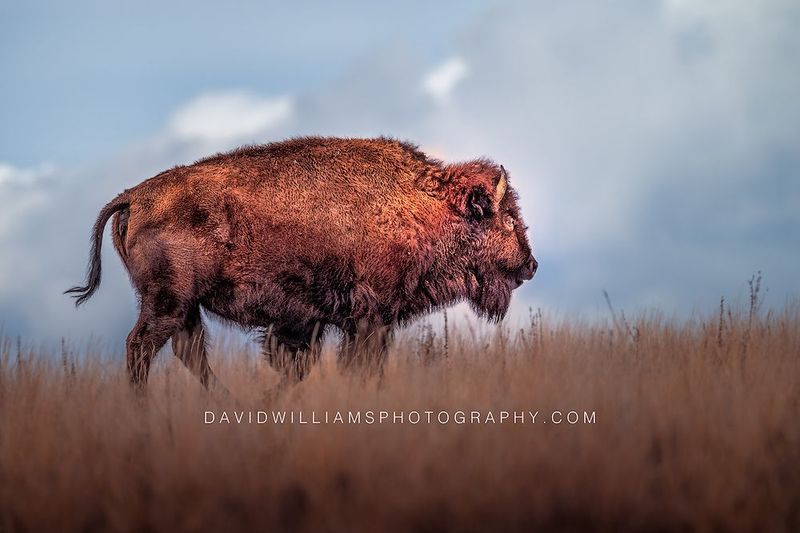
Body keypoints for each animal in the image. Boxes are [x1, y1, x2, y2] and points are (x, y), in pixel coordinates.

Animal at [67, 137, 537, 388]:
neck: (420, 204)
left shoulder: (316, 323)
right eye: (508, 218)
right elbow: (357, 366)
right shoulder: (369, 318)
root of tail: (133, 196)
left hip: (184, 308)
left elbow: (301, 364)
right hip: (167, 301)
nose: (531, 265)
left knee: (189, 353)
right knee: (142, 347)